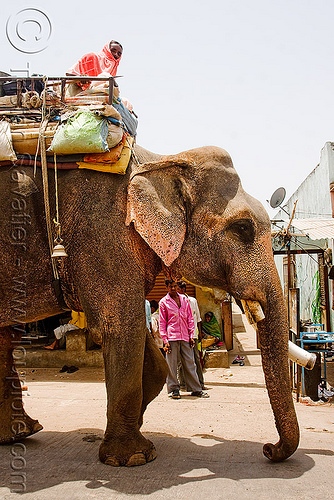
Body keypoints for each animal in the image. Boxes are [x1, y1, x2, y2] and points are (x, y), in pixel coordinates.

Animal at [0, 145, 298, 464]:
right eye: (242, 228)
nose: (269, 448)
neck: (157, 162)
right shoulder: (102, 231)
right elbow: (120, 327)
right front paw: (132, 458)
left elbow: (151, 356)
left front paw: (139, 429)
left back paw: (19, 434)